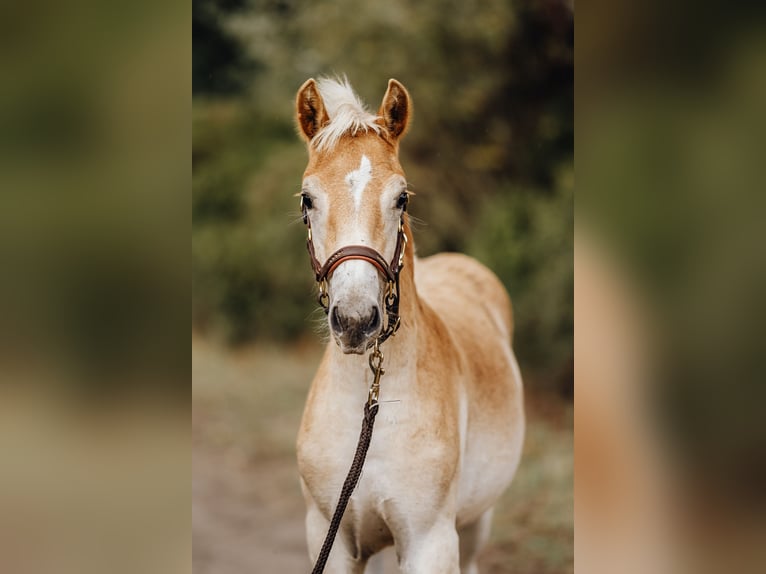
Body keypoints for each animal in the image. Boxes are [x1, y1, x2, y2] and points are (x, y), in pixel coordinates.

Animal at [296, 77, 528, 574]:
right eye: (308, 199)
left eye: (401, 197)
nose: (356, 320)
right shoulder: (332, 537)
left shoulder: (429, 542)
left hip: (475, 524)